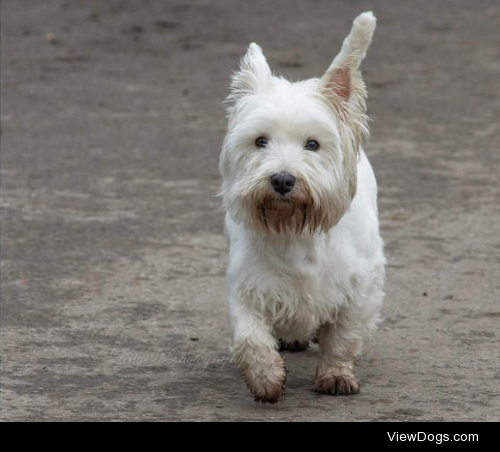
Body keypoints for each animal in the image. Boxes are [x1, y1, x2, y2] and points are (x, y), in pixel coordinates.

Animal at [220, 12, 386, 404]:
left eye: (313, 144)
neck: (295, 228)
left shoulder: (361, 285)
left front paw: (336, 375)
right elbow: (249, 336)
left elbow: (343, 336)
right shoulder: (246, 285)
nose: (282, 180)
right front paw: (266, 378)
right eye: (260, 141)